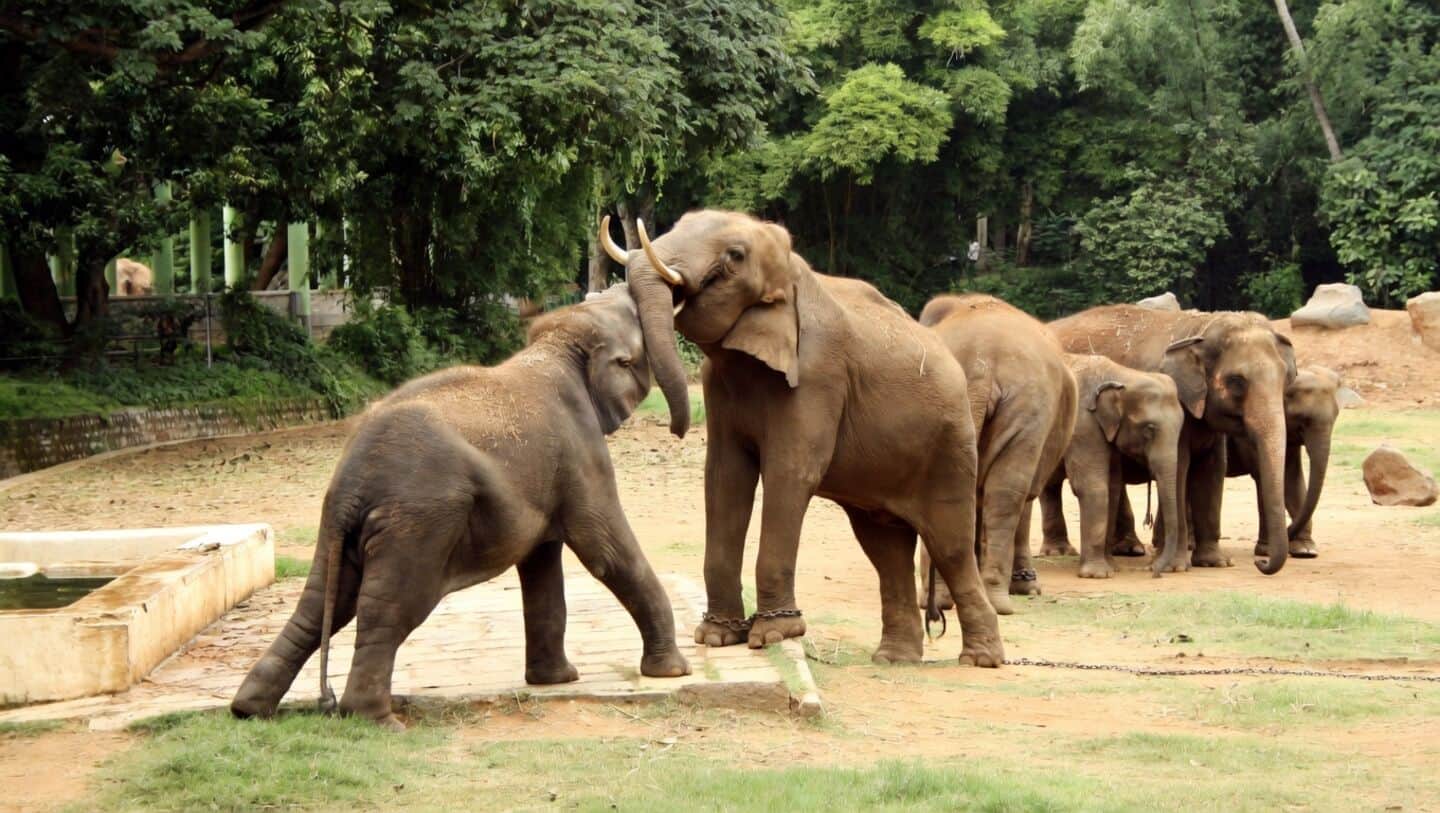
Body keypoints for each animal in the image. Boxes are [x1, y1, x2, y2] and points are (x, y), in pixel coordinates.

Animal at [230, 284, 690, 729]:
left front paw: (557, 680)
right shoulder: (580, 452)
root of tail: (352, 486)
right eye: (636, 342)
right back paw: (377, 722)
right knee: (390, 608)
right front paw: (672, 671)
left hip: (336, 527)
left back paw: (250, 710)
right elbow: (605, 551)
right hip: (418, 521)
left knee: (320, 604)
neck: (558, 343)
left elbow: (541, 564)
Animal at [604, 210, 1003, 667]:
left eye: (734, 256)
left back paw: (980, 660)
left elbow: (790, 475)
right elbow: (725, 479)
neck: (791, 273)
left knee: (949, 544)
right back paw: (893, 659)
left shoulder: (817, 375)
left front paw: (774, 634)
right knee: (885, 548)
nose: (674, 429)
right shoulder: (717, 383)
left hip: (950, 446)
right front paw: (718, 637)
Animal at [915, 294, 1078, 614]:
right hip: (1028, 408)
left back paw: (941, 600)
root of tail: (982, 367)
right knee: (1008, 493)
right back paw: (994, 601)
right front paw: (1028, 588)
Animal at [1037, 355, 1187, 578]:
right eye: (1149, 429)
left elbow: (1113, 486)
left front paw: (1112, 568)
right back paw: (1055, 553)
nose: (1153, 571)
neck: (1122, 374)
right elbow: (1092, 486)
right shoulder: (1082, 424)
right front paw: (1097, 575)